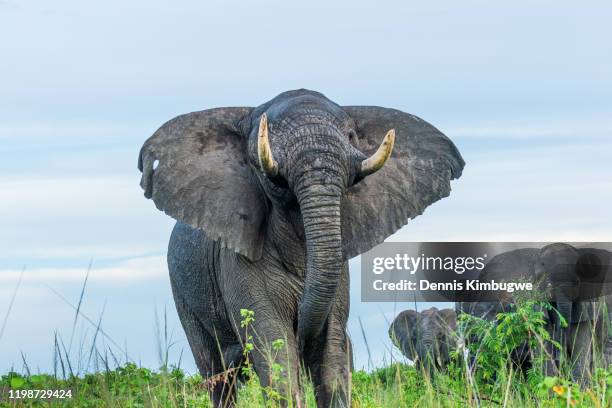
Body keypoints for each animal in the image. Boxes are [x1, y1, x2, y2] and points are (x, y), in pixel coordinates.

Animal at [139, 87, 464, 406]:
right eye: (268, 134)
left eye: (350, 135)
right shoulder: (235, 265)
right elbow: (275, 349)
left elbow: (331, 352)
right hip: (184, 293)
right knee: (217, 375)